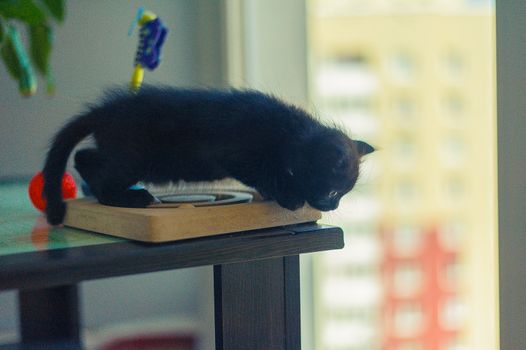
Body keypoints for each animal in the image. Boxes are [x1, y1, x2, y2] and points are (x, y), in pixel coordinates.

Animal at [43, 86, 378, 226]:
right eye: (333, 192)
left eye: (341, 195)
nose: (333, 206)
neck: (290, 136)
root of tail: (106, 112)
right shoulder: (236, 153)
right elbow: (263, 172)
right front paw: (287, 195)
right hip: (135, 157)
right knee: (102, 174)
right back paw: (131, 198)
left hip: (122, 153)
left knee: (85, 156)